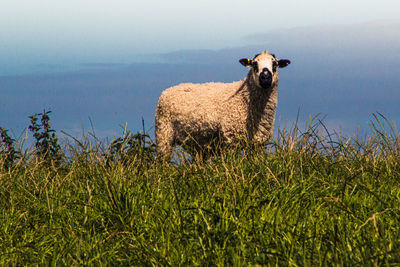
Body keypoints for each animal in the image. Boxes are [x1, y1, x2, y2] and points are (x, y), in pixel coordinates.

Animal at [154, 51, 290, 158]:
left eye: (275, 64)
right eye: (254, 64)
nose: (265, 77)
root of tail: (167, 90)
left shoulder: (258, 143)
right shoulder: (231, 140)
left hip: (198, 145)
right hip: (164, 133)